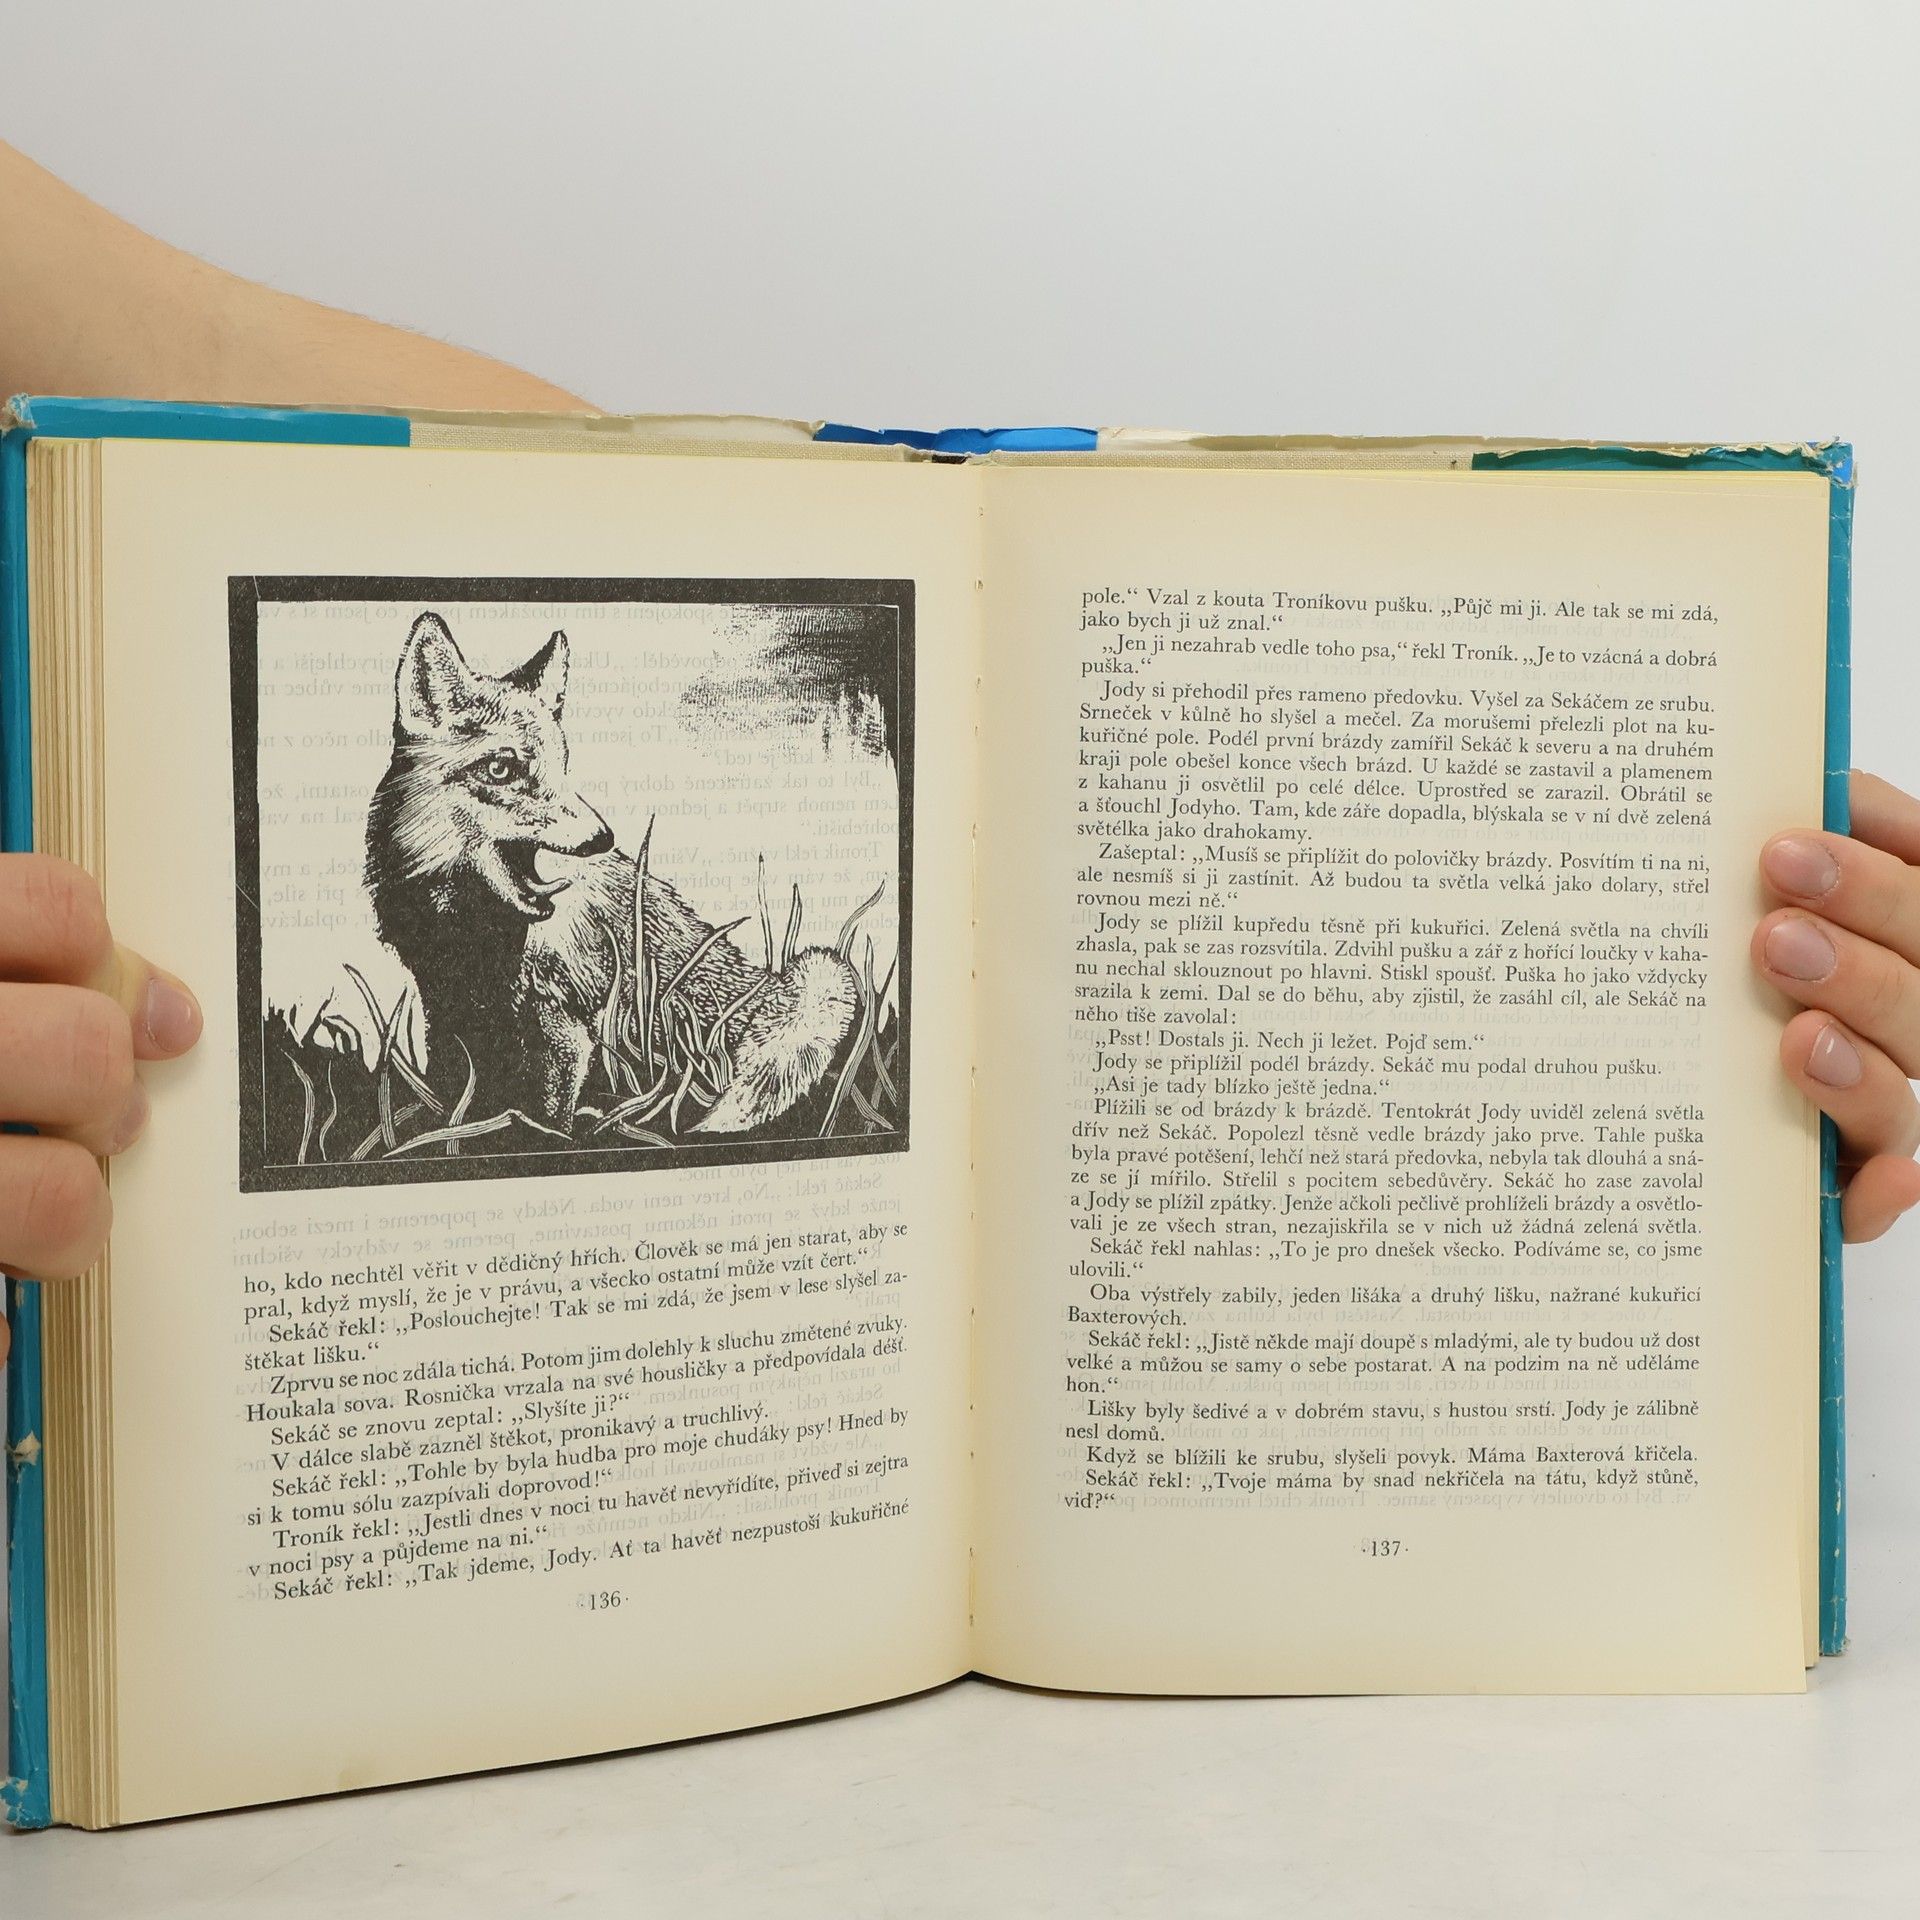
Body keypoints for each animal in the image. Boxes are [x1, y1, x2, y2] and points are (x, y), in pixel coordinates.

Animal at [364, 611, 860, 1135]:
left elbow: (546, 1118)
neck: (469, 933)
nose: (601, 839)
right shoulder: (445, 1005)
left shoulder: (562, 1027)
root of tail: (762, 983)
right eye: (501, 769)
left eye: (562, 768)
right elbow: (453, 1087)